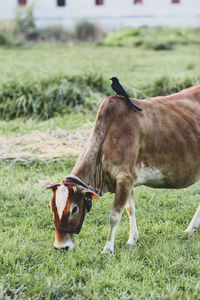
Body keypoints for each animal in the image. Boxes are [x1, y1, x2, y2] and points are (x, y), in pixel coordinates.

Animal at [47, 85, 200, 252]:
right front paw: (133, 238)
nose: (61, 246)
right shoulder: (128, 181)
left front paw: (108, 248)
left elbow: (114, 216)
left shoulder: (125, 178)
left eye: (74, 208)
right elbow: (130, 209)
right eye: (51, 207)